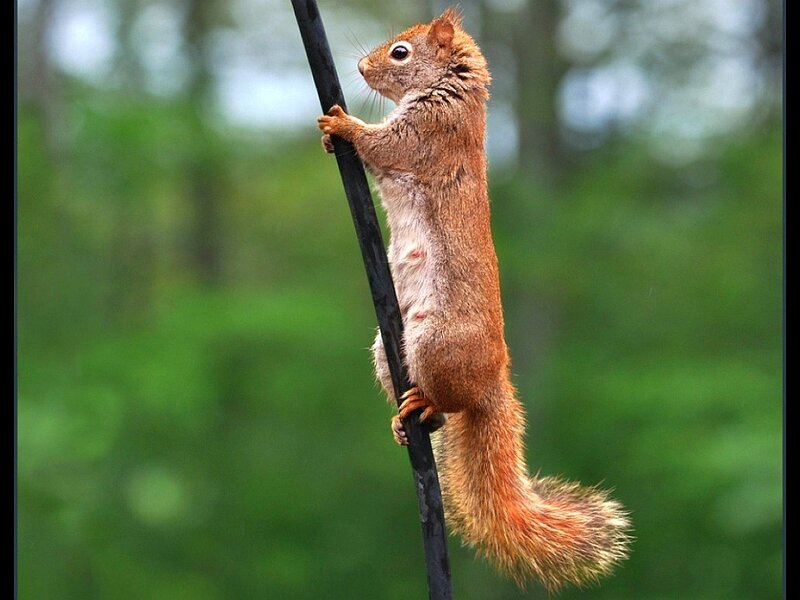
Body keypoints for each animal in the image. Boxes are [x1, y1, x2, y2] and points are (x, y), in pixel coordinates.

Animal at [317, 7, 631, 591]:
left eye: (400, 52)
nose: (362, 66)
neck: (453, 95)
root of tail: (491, 380)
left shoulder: (430, 134)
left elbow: (384, 147)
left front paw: (342, 126)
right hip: (388, 353)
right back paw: (403, 421)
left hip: (437, 344)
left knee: (449, 402)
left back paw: (424, 404)